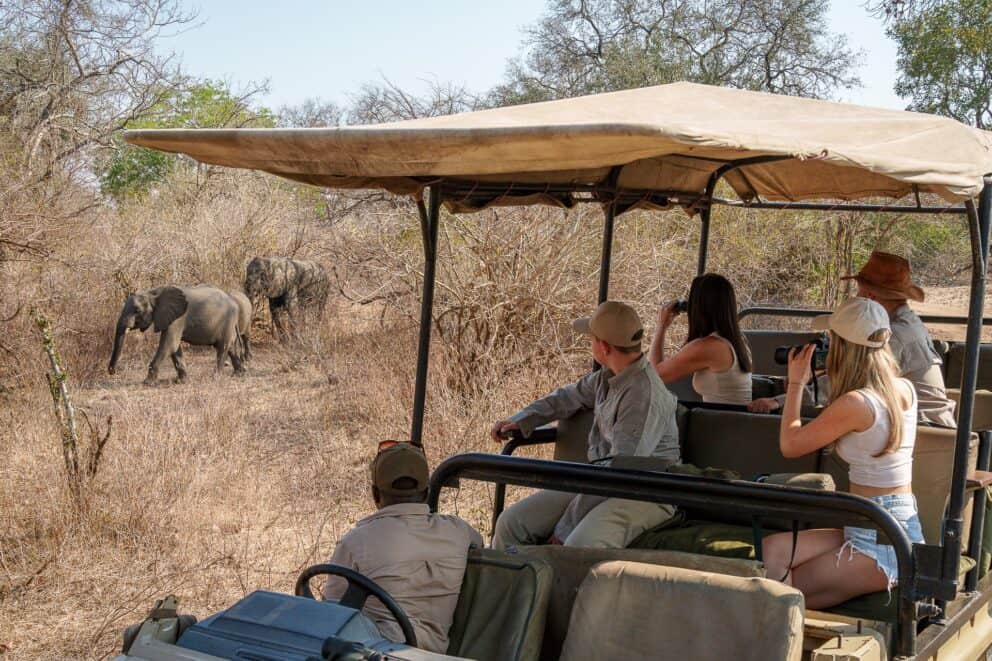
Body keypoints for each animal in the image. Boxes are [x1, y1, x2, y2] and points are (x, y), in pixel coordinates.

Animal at [108, 285, 246, 384]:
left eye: (137, 310)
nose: (113, 372)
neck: (153, 292)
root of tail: (233, 301)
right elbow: (174, 348)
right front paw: (182, 381)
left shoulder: (178, 318)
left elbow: (169, 344)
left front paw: (147, 382)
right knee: (230, 347)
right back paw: (239, 374)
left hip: (228, 320)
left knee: (222, 347)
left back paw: (215, 377)